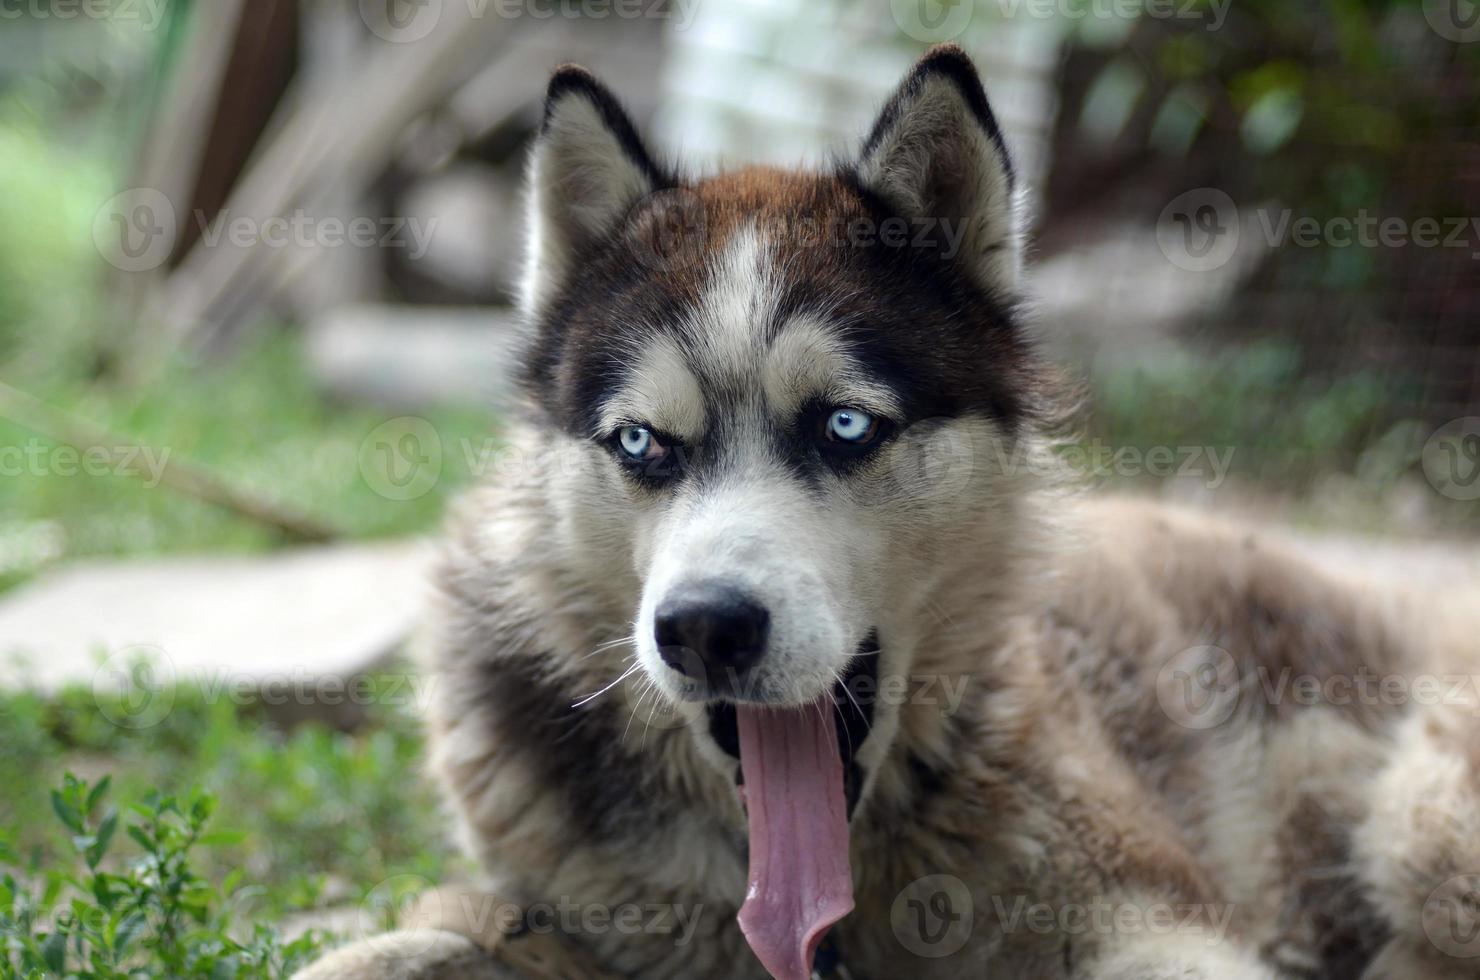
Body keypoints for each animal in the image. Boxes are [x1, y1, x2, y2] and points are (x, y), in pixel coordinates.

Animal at [303, 46, 1480, 980]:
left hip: (1425, 819)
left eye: (844, 427)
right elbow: (414, 940)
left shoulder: (1155, 919)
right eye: (641, 444)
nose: (703, 628)